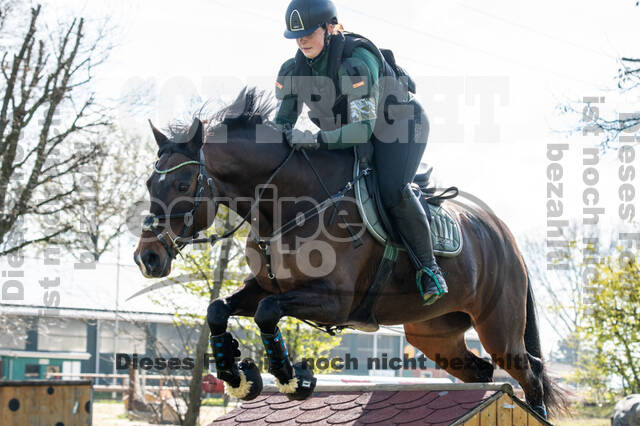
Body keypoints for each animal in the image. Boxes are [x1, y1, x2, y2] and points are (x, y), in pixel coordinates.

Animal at [134, 87, 564, 420]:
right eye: (150, 183)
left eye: (184, 184)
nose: (147, 258)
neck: (288, 205)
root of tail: (504, 235)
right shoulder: (265, 286)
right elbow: (219, 309)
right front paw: (239, 377)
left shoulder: (334, 302)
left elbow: (268, 312)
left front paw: (292, 378)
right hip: (435, 335)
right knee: (482, 372)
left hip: (499, 328)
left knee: (529, 372)